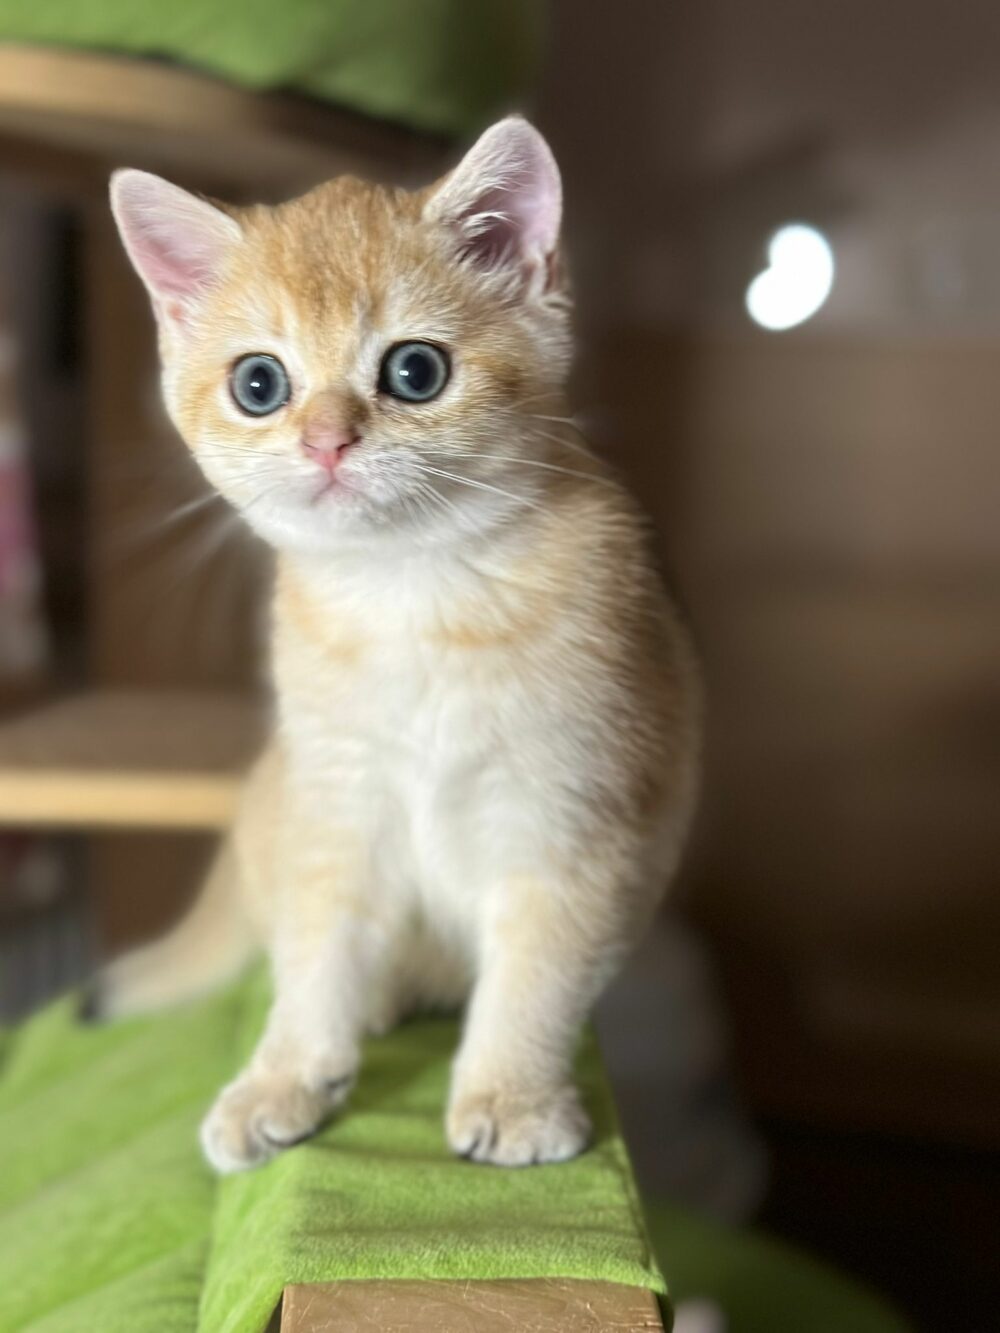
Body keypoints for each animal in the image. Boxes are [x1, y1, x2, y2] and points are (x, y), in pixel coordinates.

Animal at [100, 119, 698, 1173]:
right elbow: (317, 957)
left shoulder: (574, 817)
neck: (414, 597)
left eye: (415, 372)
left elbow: (538, 972)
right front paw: (286, 1075)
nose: (327, 441)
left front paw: (511, 1095)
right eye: (260, 384)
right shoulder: (334, 806)